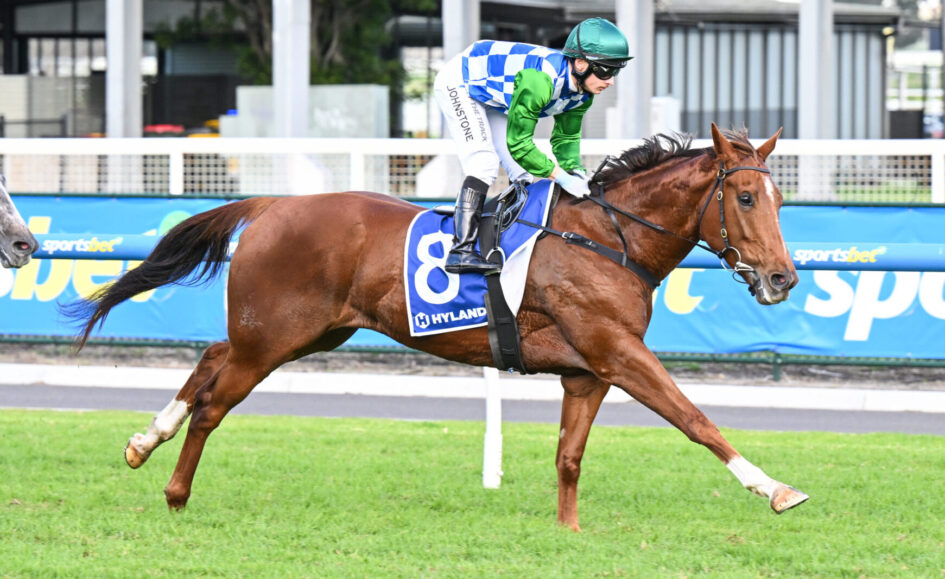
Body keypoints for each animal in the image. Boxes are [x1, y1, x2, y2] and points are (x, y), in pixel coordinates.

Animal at [66, 124, 807, 530]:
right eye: (745, 196)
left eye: (778, 199)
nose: (782, 278)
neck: (606, 238)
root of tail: (273, 203)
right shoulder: (618, 351)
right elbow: (695, 418)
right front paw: (775, 488)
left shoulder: (586, 371)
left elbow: (568, 457)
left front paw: (567, 532)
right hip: (274, 337)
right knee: (214, 403)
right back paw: (175, 491)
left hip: (298, 332)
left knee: (211, 356)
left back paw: (143, 440)